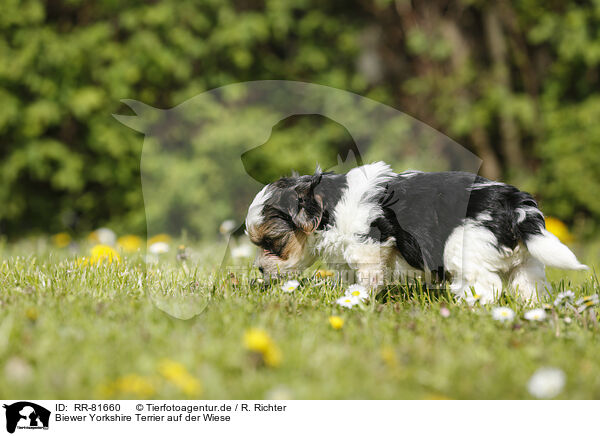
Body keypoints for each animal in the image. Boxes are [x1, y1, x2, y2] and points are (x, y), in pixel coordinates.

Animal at [244, 161, 584, 304]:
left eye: (271, 243)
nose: (260, 269)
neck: (330, 204)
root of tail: (516, 207)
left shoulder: (370, 243)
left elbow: (368, 274)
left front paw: (359, 297)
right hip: (526, 261)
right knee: (528, 285)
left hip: (464, 249)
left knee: (486, 285)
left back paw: (469, 304)